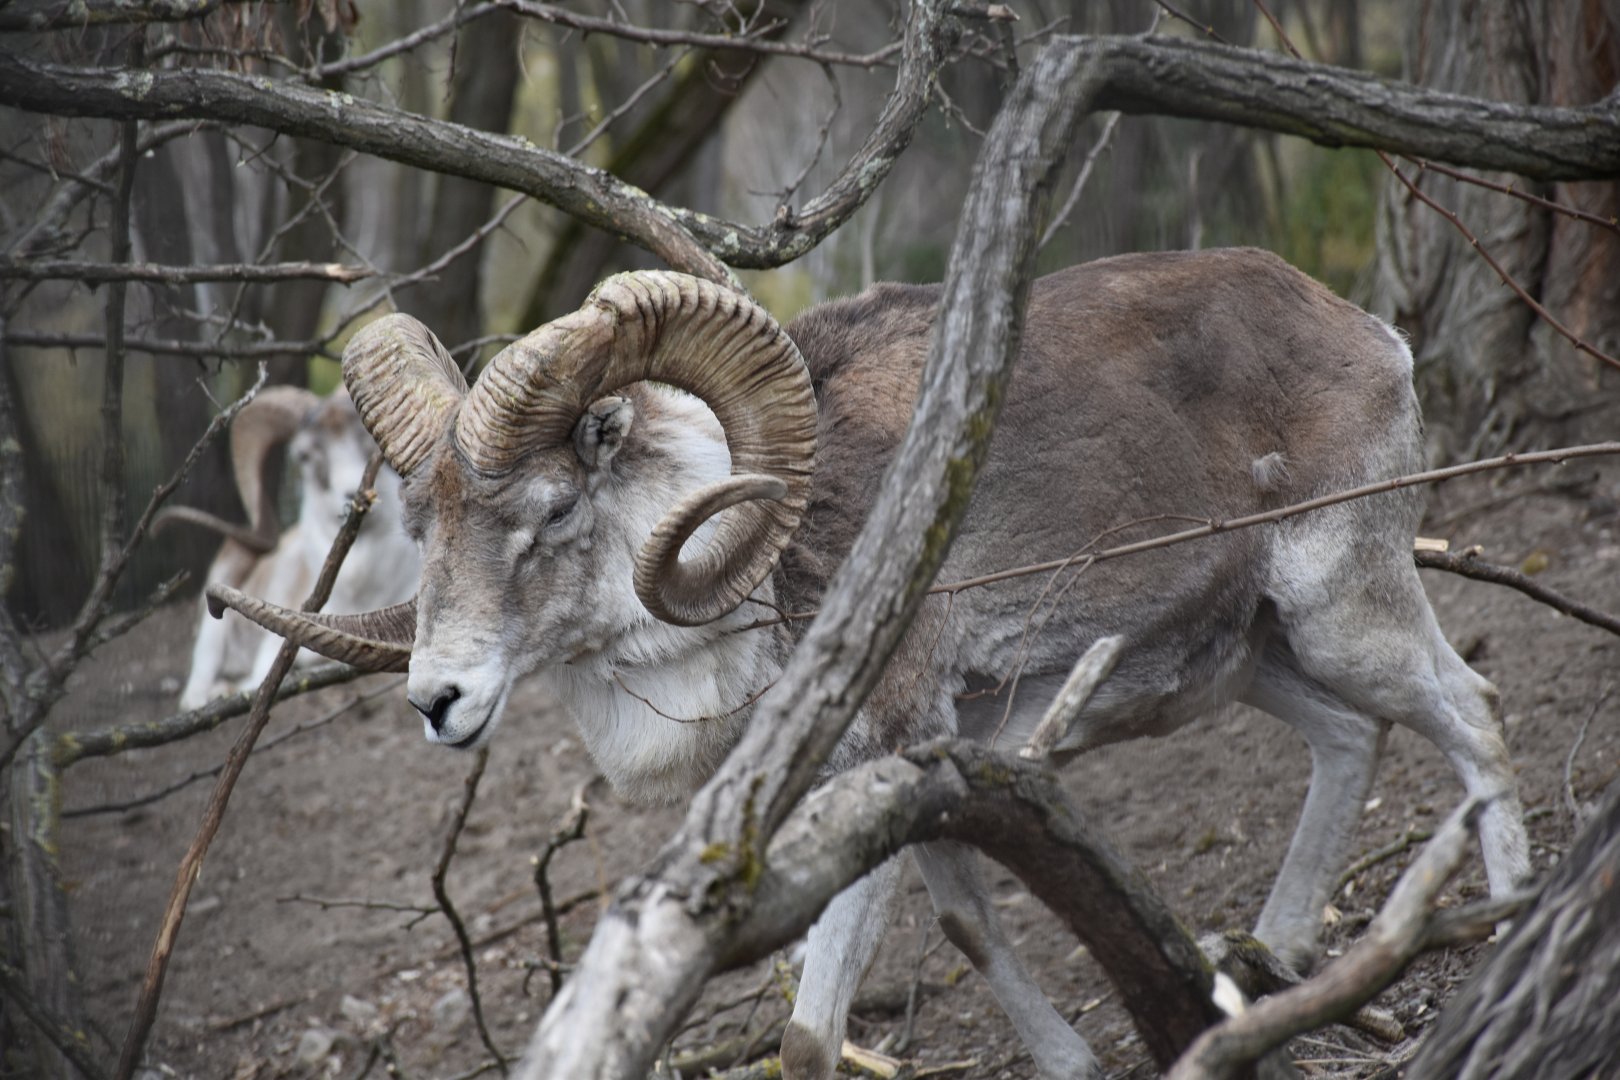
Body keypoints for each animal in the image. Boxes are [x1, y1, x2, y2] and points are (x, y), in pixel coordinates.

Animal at [209, 250, 1529, 1079]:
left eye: (550, 511)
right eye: (420, 528)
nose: (439, 701)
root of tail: (1366, 333)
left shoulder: (877, 769)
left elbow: (810, 1037)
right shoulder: (936, 780)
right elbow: (969, 926)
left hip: (1343, 610)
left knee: (1471, 712)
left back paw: (1511, 929)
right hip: (1256, 654)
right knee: (1352, 738)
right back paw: (1274, 968)